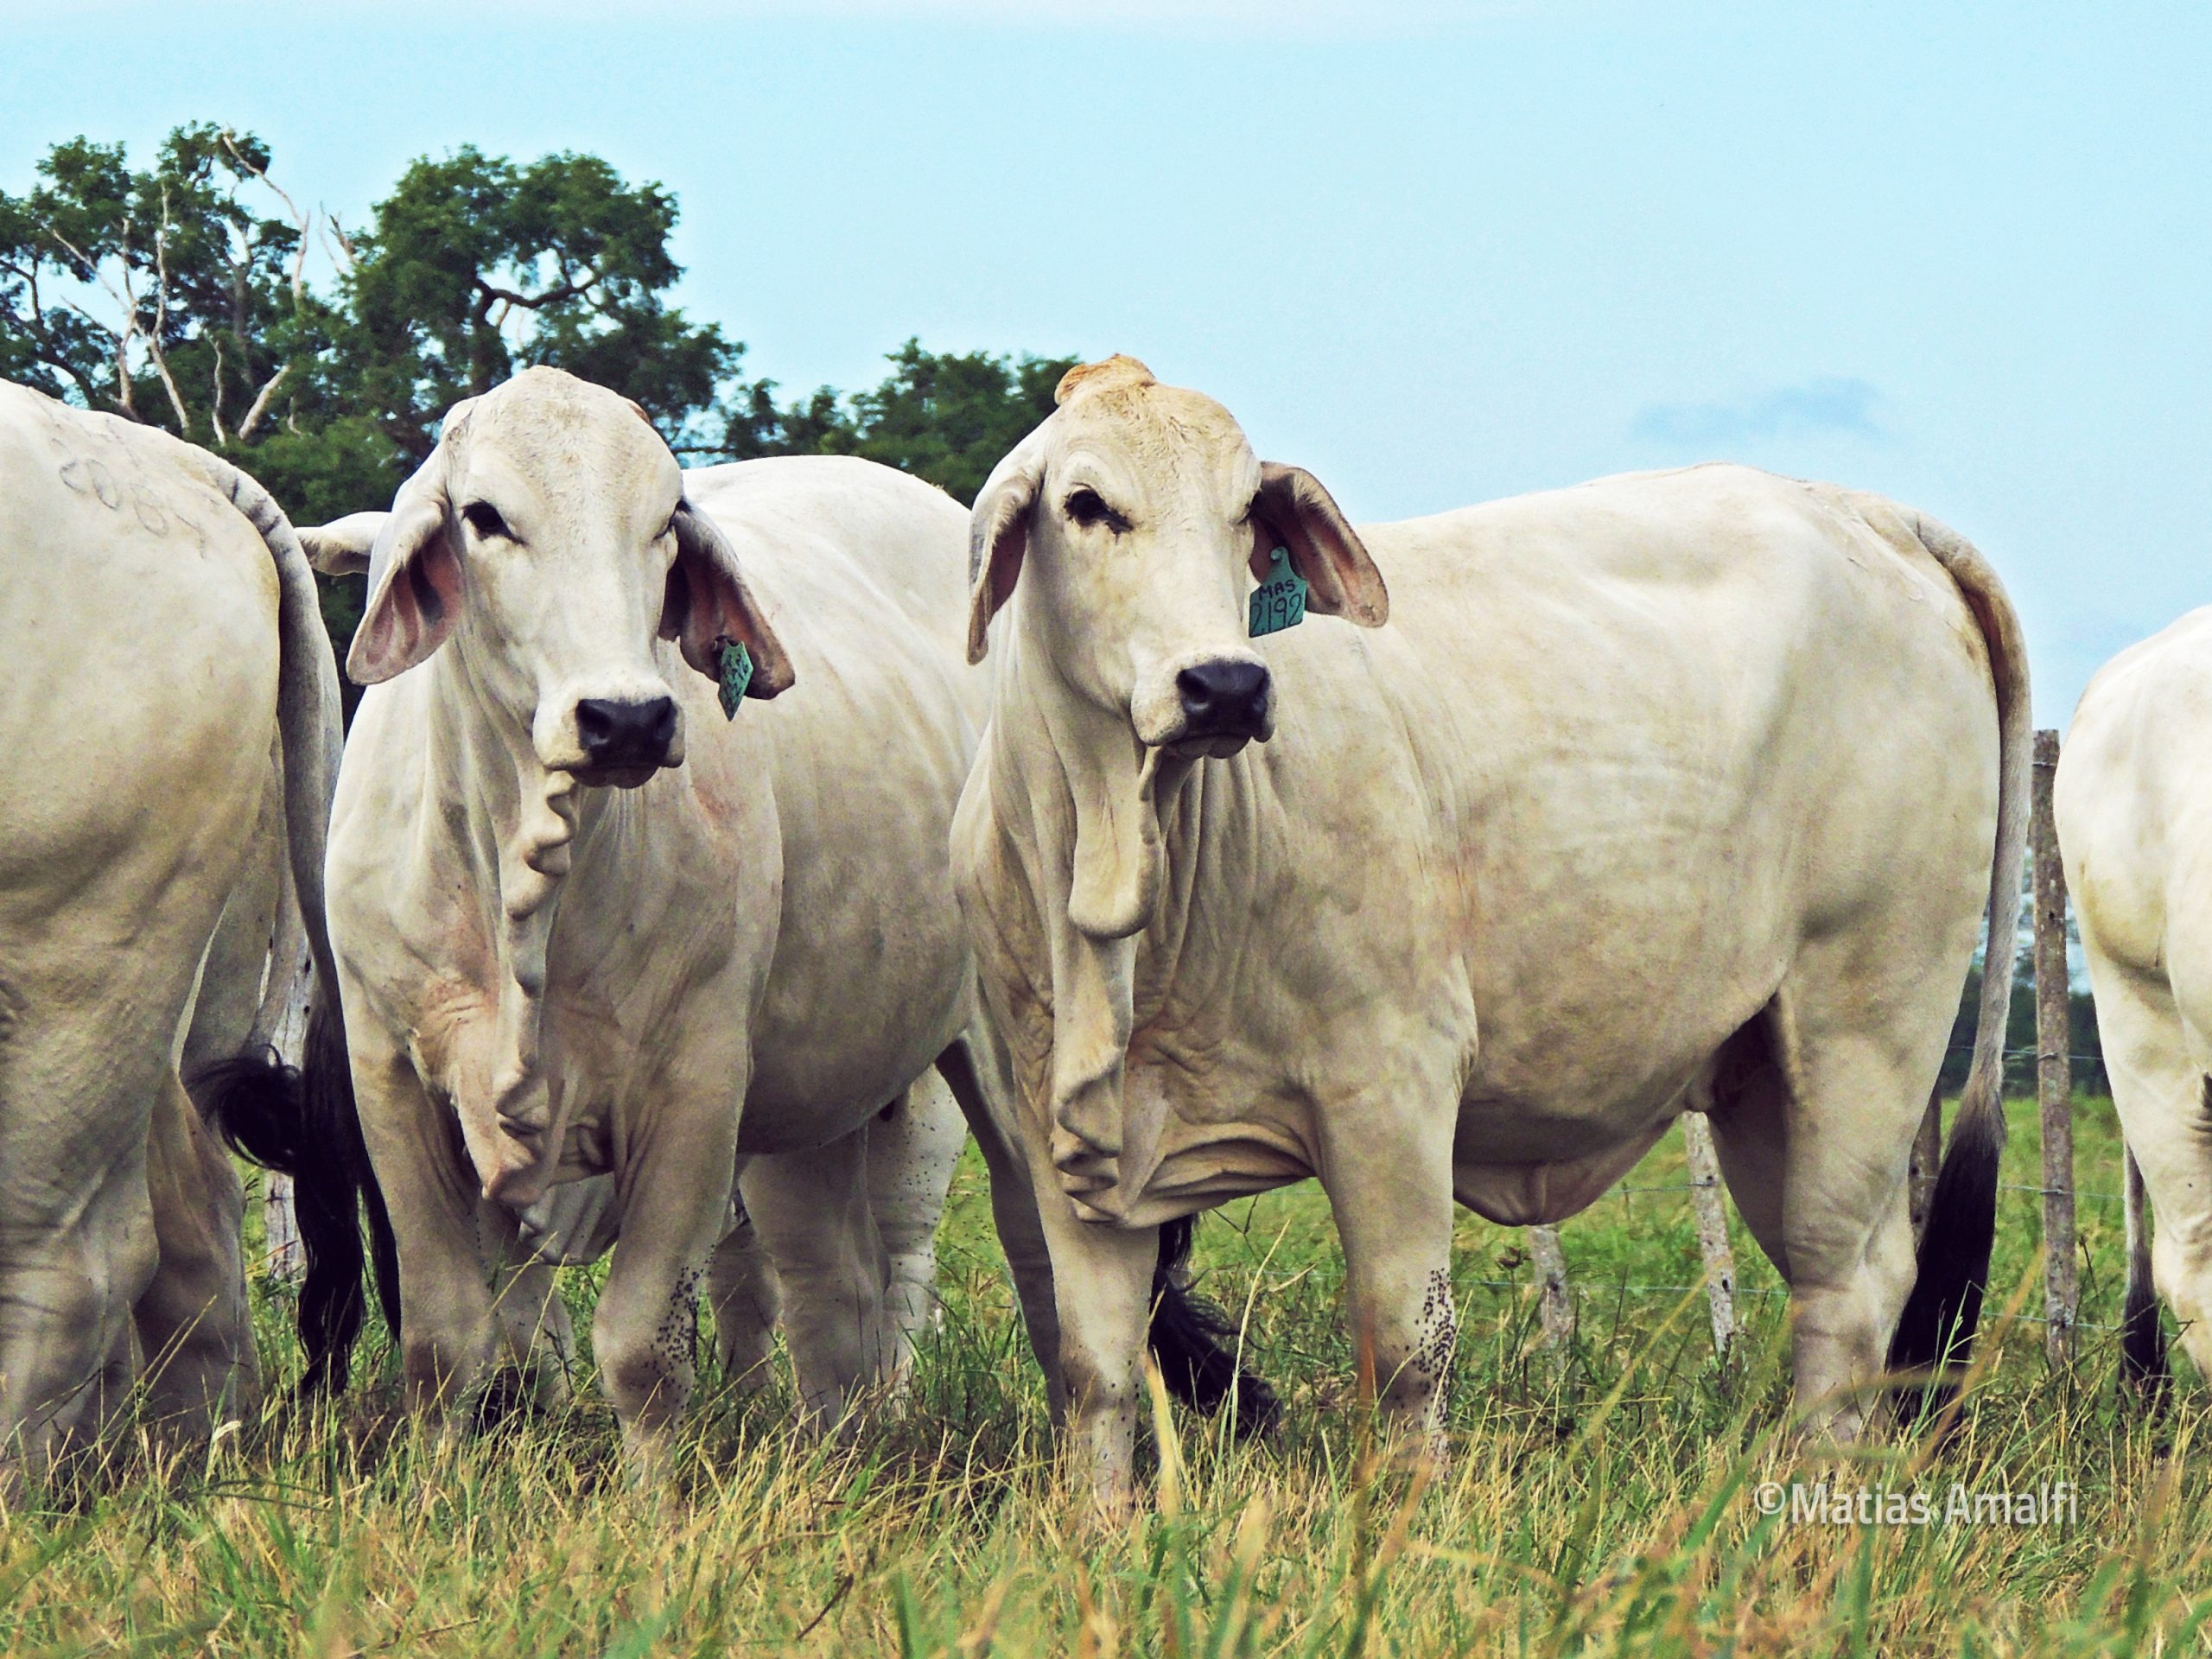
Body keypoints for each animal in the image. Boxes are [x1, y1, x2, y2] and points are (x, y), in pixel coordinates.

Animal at [294, 369, 1265, 1478]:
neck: (519, 881)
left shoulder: (696, 1086)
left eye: (663, 521)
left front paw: (651, 1503)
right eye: (487, 517)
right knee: (829, 1293)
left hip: (998, 1064)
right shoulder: (392, 1084)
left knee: (1032, 1270)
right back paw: (838, 1451)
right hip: (822, 1091)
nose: (626, 719)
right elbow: (445, 1342)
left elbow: (639, 1348)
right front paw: (439, 1490)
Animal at [950, 358, 2025, 1513]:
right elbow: (1094, 1369)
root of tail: (1869, 511)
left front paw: (1402, 1521)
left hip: (1861, 1033)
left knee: (1846, 1293)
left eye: (1246, 513)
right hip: (1756, 1079)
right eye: (1085, 504)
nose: (1225, 685)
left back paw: (1816, 1504)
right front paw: (1100, 1529)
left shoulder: (1393, 1090)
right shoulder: (1060, 1136)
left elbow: (1405, 1347)